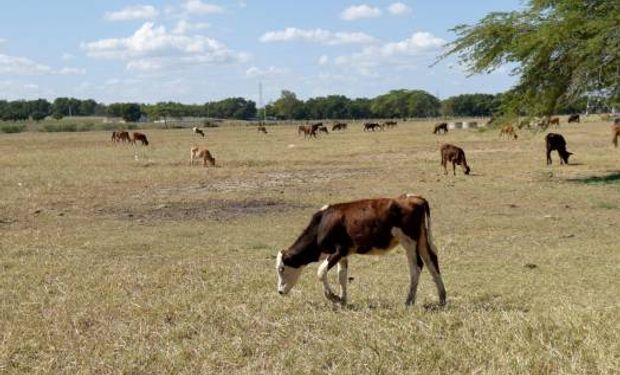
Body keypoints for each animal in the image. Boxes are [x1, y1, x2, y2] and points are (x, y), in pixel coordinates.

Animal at [276, 195, 446, 306]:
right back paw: (442, 298)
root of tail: (415, 198)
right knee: (432, 261)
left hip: (409, 241)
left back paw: (409, 300)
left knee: (417, 266)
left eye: (281, 269)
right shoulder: (344, 255)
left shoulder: (338, 250)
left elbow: (321, 271)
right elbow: (342, 276)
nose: (279, 292)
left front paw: (332, 296)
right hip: (422, 240)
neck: (323, 223)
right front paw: (342, 300)